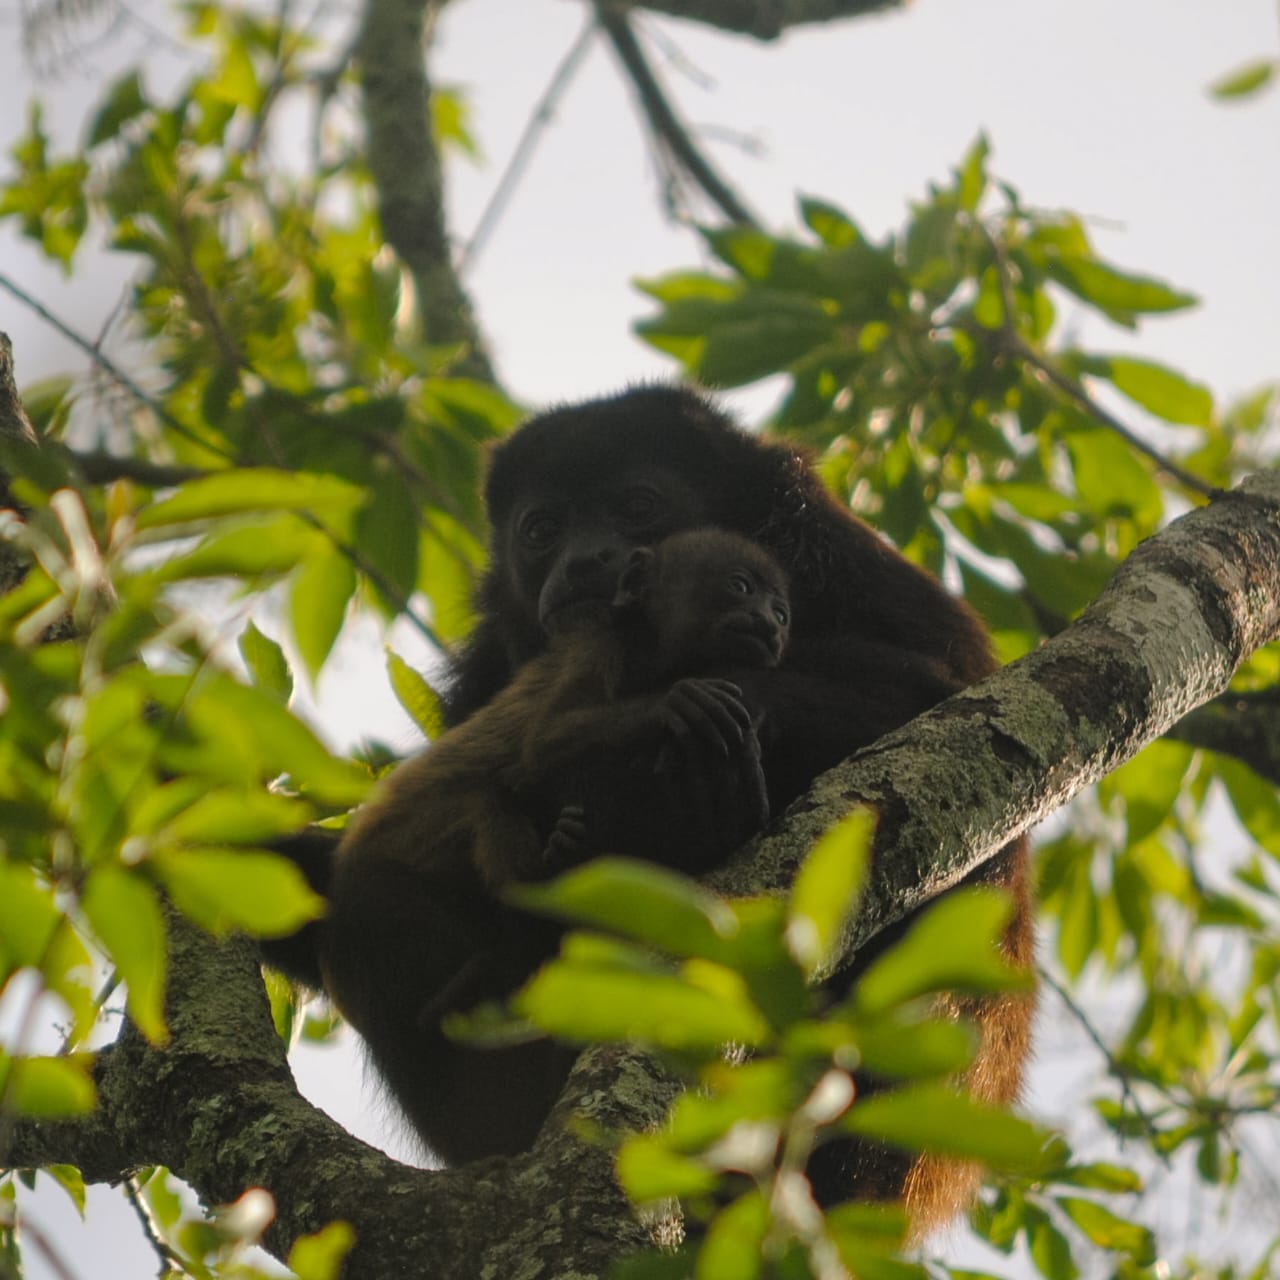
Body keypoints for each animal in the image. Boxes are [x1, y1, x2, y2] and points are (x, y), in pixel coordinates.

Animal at [313, 529, 791, 1165]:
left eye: (781, 612)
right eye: (740, 586)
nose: (770, 624)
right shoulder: (593, 649)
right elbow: (542, 745)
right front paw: (676, 703)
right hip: (385, 903)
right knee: (483, 802)